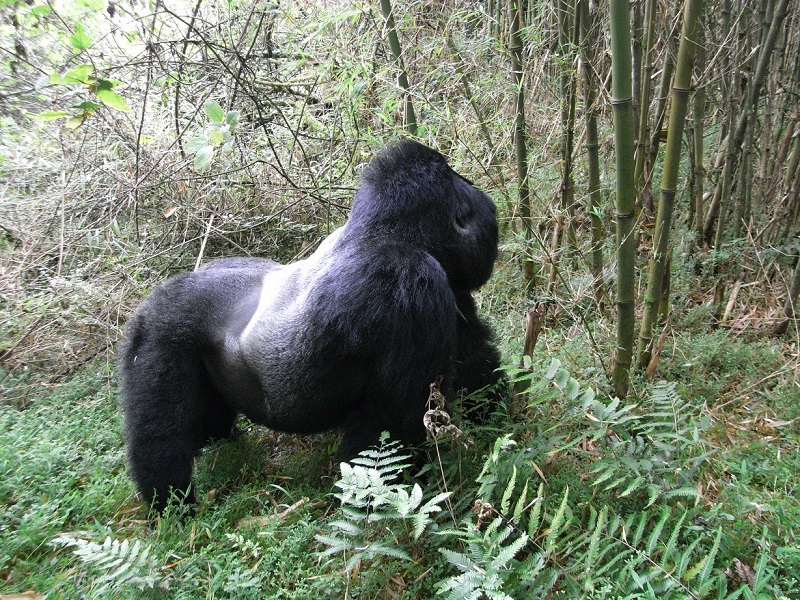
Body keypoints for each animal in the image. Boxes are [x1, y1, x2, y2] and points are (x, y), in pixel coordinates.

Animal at [119, 139, 500, 510]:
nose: (488, 205)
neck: (384, 232)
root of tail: (158, 293)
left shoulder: (447, 288)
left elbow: (474, 361)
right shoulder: (410, 282)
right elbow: (392, 420)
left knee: (209, 423)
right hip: (159, 332)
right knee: (163, 436)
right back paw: (171, 503)